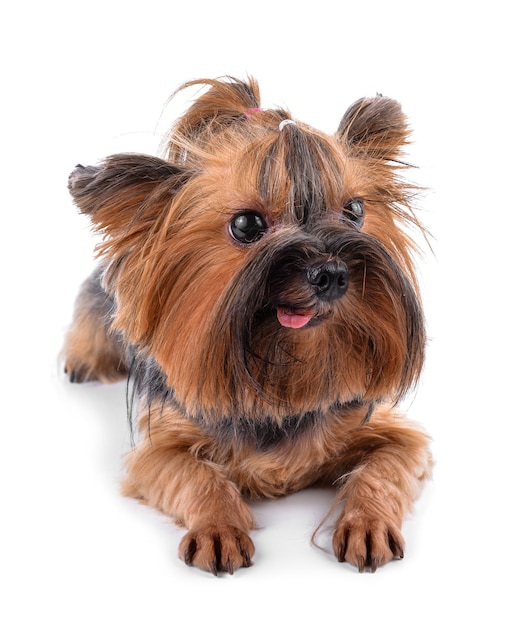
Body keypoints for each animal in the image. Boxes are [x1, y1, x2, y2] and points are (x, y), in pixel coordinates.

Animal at [63, 75, 432, 572]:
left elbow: (385, 469)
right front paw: (218, 529)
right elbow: (197, 476)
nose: (332, 272)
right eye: (246, 225)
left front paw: (367, 524)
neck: (281, 382)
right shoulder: (159, 447)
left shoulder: (395, 435)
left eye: (354, 211)